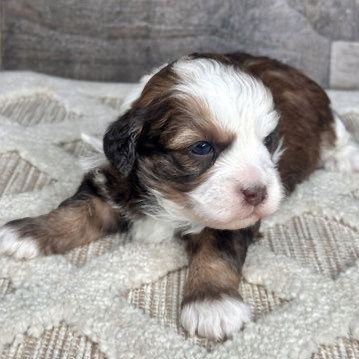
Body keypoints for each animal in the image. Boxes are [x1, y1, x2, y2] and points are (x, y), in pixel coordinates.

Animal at [0, 52, 359, 340]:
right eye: (201, 147)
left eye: (268, 141)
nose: (258, 192)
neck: (173, 197)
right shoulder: (112, 181)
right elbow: (76, 211)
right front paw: (27, 232)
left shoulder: (230, 221)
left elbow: (215, 252)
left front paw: (212, 305)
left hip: (325, 115)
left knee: (337, 133)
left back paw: (346, 159)